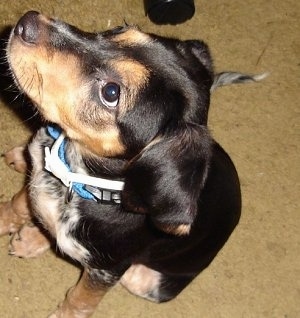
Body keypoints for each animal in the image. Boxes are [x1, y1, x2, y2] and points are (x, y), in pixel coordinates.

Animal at [1, 10, 260, 318]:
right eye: (116, 30)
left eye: (111, 93)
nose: (27, 22)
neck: (74, 173)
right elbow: (18, 204)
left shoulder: (108, 270)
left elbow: (81, 299)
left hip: (141, 278)